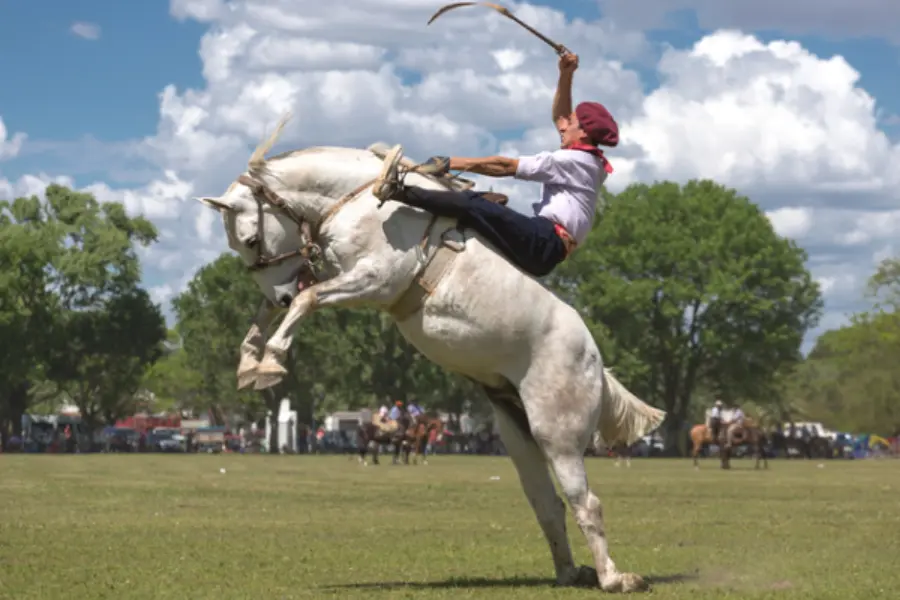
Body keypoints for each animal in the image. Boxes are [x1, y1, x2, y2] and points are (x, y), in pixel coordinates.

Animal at [195, 116, 666, 593]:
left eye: (252, 238)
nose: (282, 290)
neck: (359, 201)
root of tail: (596, 364)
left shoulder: (374, 280)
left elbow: (306, 302)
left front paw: (271, 362)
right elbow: (273, 310)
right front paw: (250, 361)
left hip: (560, 434)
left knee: (585, 501)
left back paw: (614, 578)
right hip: (520, 432)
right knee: (547, 502)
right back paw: (571, 572)